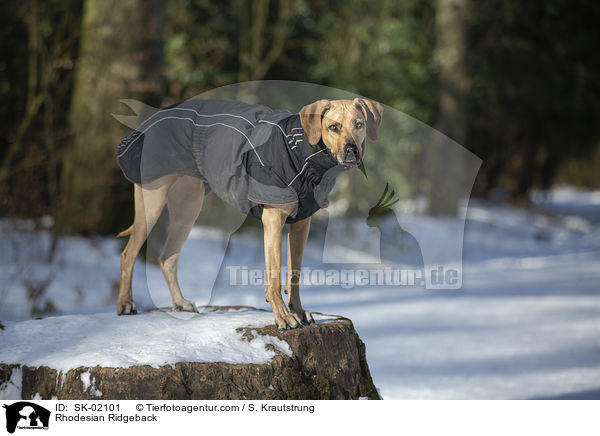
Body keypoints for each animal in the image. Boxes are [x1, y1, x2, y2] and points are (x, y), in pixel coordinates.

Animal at [115, 98, 382, 328]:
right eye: (333, 127)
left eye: (359, 124)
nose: (352, 151)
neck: (302, 152)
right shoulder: (273, 219)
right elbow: (274, 275)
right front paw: (283, 317)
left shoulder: (301, 224)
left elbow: (294, 274)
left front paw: (297, 311)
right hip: (152, 202)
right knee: (128, 254)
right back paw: (126, 304)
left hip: (187, 209)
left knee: (167, 258)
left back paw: (180, 303)